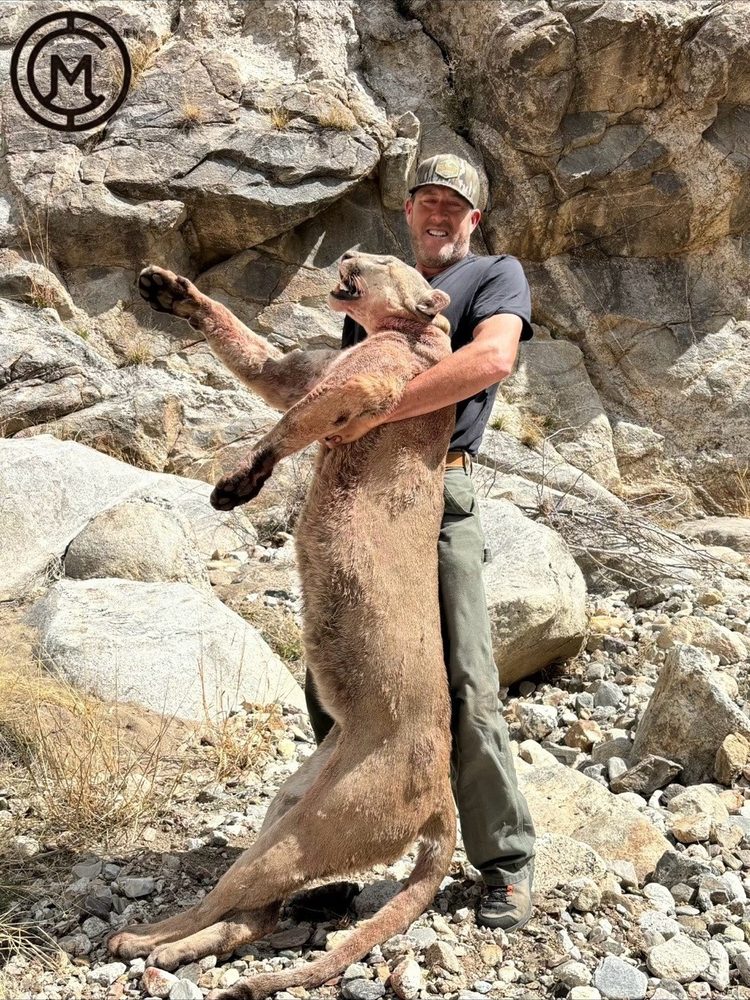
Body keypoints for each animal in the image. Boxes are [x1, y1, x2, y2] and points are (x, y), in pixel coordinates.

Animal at [108, 252, 457, 999]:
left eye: (387, 260)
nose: (350, 253)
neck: (397, 330)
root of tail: (441, 795)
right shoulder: (301, 371)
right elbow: (251, 353)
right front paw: (170, 292)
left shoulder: (369, 381)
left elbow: (290, 425)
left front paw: (239, 482)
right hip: (289, 808)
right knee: (253, 916)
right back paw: (169, 954)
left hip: (312, 830)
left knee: (232, 899)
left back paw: (142, 940)